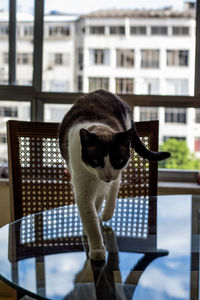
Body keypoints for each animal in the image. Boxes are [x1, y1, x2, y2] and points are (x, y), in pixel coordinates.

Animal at [58, 89, 170, 260]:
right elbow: (90, 216)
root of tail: (104, 91)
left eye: (118, 160)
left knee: (115, 186)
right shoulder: (82, 186)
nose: (108, 174)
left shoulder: (108, 179)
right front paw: (97, 249)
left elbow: (98, 203)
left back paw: (107, 212)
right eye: (96, 160)